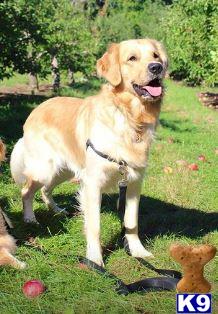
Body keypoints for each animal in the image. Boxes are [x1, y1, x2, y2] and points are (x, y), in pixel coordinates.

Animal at [10, 38, 168, 264]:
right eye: (132, 58)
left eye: (155, 56)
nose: (157, 68)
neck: (129, 117)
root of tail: (38, 107)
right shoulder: (93, 183)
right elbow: (95, 226)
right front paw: (94, 259)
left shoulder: (134, 181)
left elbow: (131, 222)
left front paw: (138, 251)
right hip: (45, 168)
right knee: (27, 191)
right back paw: (30, 218)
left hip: (66, 170)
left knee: (45, 189)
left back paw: (57, 210)